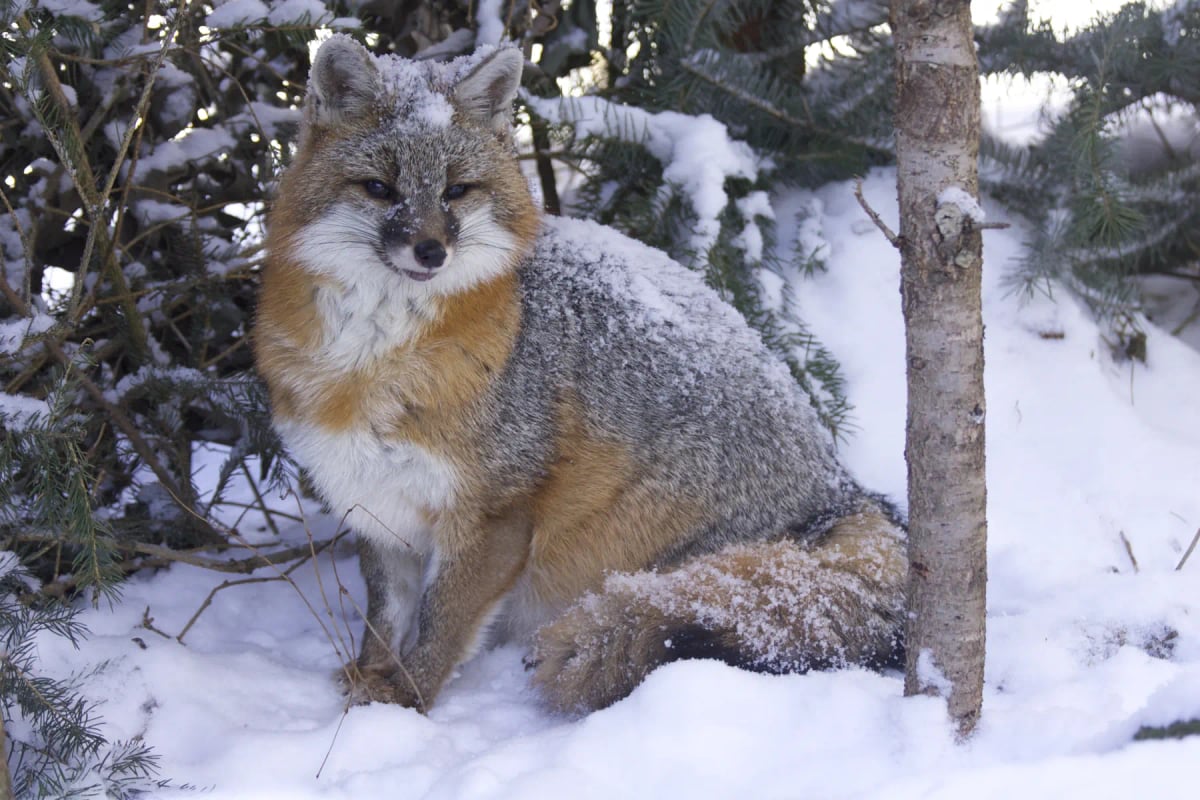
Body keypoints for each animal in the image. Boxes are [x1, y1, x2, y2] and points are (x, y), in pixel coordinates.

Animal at [254, 34, 907, 715]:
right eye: (380, 188)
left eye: (456, 191)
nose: (431, 252)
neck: (368, 366)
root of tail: (845, 490)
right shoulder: (377, 508)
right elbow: (384, 619)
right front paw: (370, 678)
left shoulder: (494, 516)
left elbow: (439, 628)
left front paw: (403, 702)